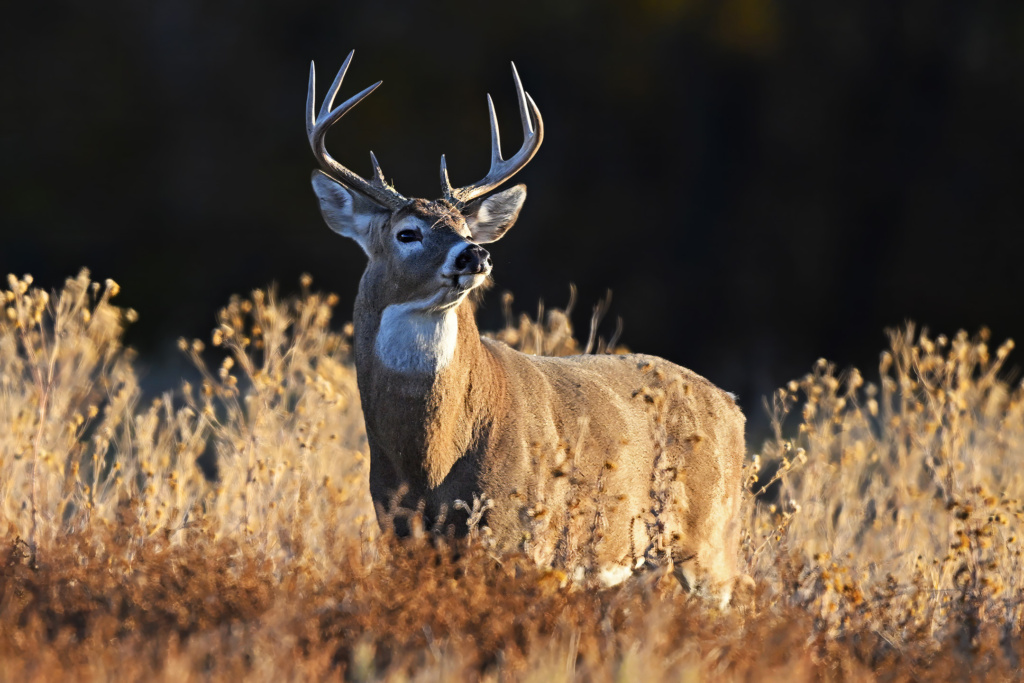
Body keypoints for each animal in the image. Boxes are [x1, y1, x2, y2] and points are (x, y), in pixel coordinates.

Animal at [307, 49, 749, 602]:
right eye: (407, 233)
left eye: (465, 226)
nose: (474, 253)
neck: (430, 462)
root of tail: (734, 409)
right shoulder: (398, 531)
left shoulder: (516, 531)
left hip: (708, 540)